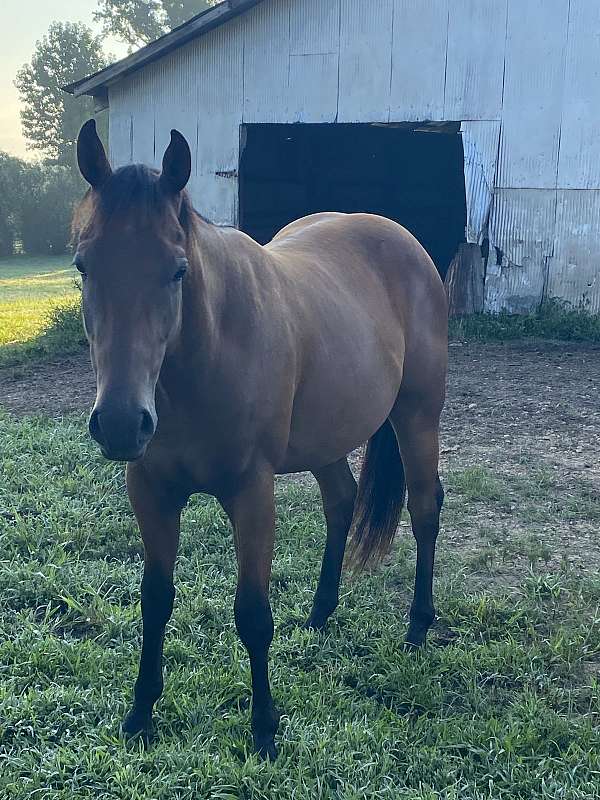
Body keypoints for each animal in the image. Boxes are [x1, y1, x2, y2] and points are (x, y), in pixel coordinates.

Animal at [73, 119, 447, 759]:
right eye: (83, 266)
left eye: (177, 270)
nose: (121, 422)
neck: (206, 356)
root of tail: (405, 242)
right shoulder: (150, 489)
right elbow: (154, 600)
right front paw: (140, 714)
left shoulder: (252, 493)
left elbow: (252, 613)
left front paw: (265, 728)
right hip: (327, 437)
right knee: (341, 501)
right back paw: (320, 613)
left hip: (418, 415)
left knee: (424, 507)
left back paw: (418, 626)